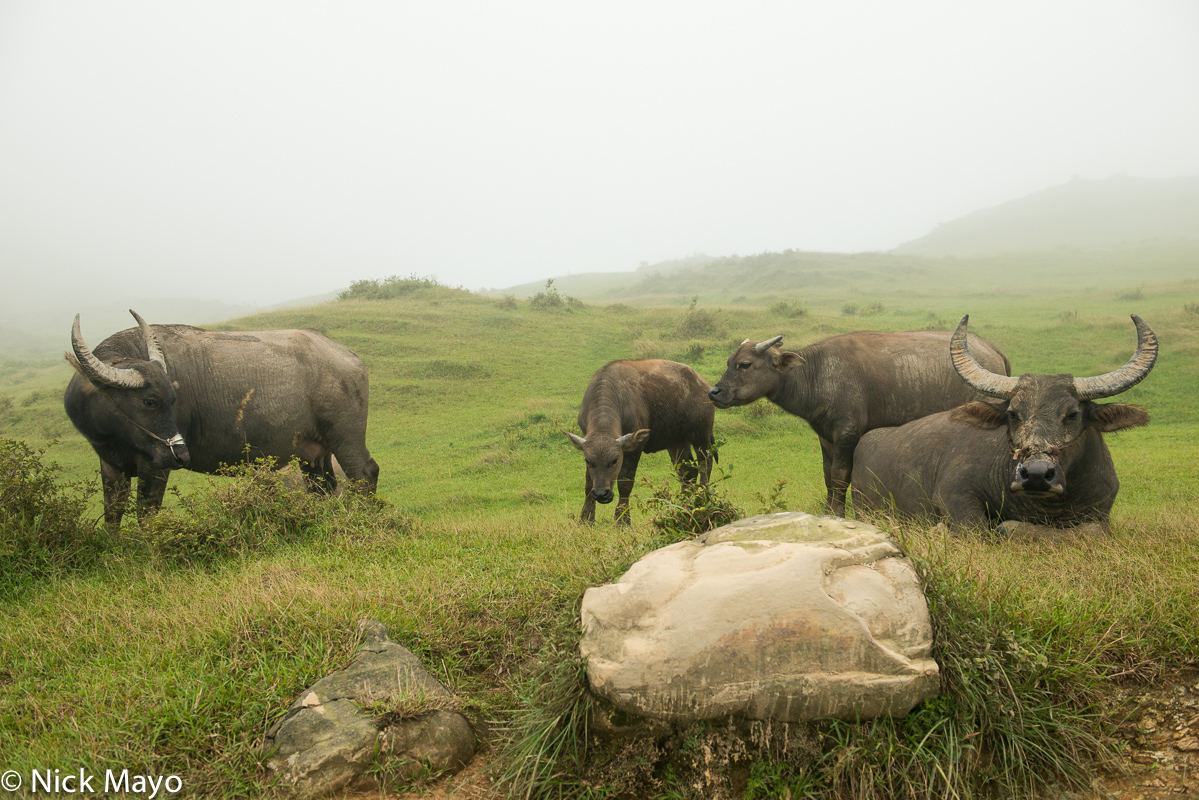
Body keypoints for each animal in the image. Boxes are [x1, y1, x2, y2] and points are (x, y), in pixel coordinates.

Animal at [62, 309, 378, 527]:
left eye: (171, 399)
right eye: (150, 401)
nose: (180, 454)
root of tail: (350, 357)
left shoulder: (154, 465)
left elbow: (146, 514)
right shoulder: (111, 466)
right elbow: (112, 516)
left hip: (346, 439)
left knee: (366, 473)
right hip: (313, 455)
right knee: (322, 488)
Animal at [561, 357, 709, 522]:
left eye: (615, 460)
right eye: (588, 461)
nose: (601, 494)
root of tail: (702, 383)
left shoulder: (635, 447)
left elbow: (625, 483)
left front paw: (622, 520)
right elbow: (588, 483)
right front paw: (586, 519)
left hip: (702, 435)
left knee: (705, 466)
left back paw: (704, 501)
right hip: (677, 441)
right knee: (688, 473)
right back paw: (685, 507)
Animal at [709, 331, 1011, 513]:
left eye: (745, 365)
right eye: (728, 362)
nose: (714, 392)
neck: (818, 374)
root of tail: (991, 349)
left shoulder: (848, 435)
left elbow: (841, 478)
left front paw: (838, 513)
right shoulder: (826, 439)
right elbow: (828, 478)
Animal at [848, 316, 1155, 534]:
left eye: (1072, 414)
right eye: (1013, 414)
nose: (1035, 474)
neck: (1045, 508)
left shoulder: (1102, 509)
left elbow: (1093, 531)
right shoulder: (954, 493)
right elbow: (982, 529)